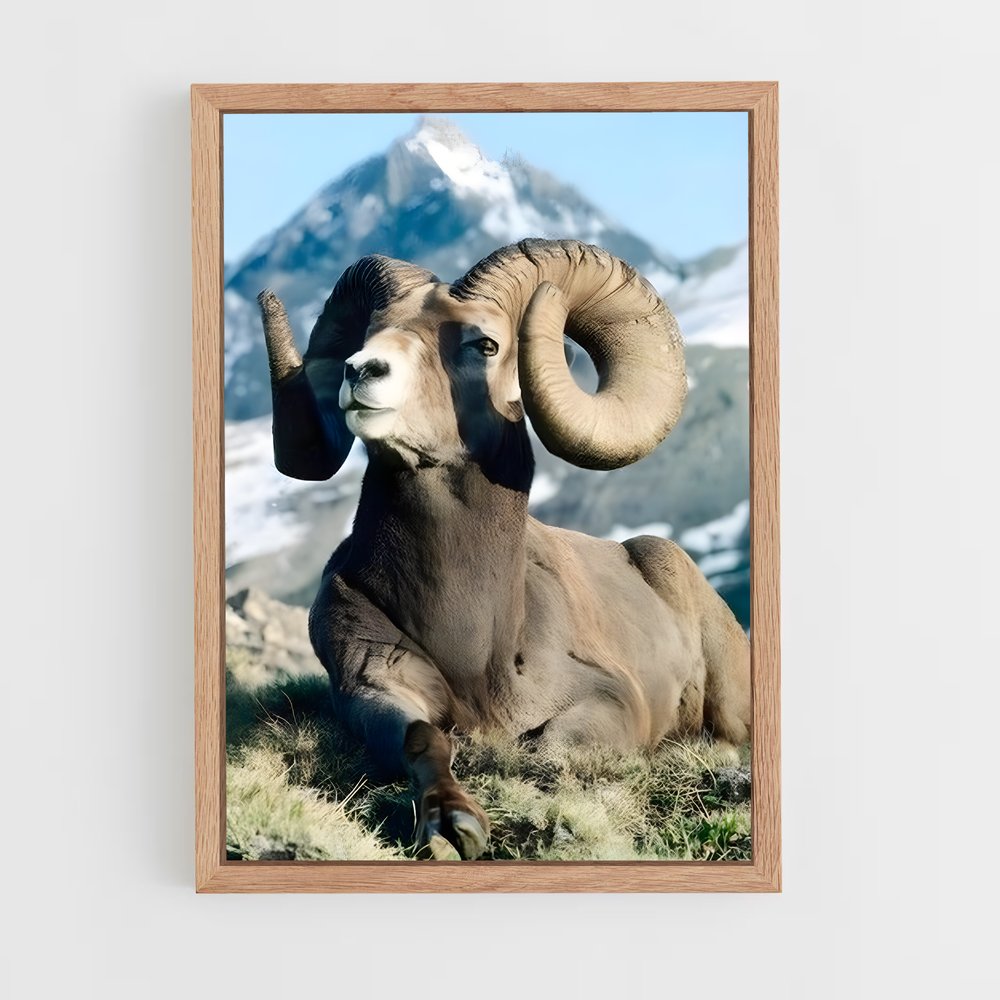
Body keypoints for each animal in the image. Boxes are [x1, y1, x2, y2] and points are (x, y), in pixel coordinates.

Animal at [258, 239, 751, 860]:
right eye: (371, 331)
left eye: (485, 345)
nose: (361, 370)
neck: (476, 643)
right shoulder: (372, 686)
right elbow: (422, 738)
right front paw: (451, 825)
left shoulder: (611, 702)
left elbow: (546, 749)